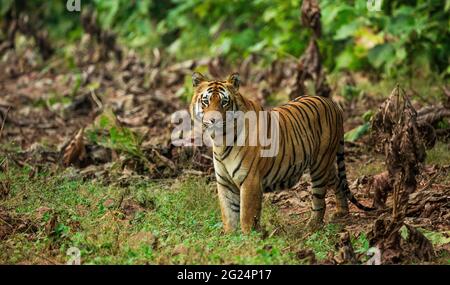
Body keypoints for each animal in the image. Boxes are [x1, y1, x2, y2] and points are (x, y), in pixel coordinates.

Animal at [190, 71, 372, 233]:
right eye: (206, 101)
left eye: (224, 102)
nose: (212, 120)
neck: (221, 140)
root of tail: (332, 103)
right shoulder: (224, 182)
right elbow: (229, 216)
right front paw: (231, 239)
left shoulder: (250, 180)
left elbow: (246, 216)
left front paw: (249, 240)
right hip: (325, 163)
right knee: (338, 182)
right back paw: (342, 213)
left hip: (320, 164)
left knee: (320, 198)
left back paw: (312, 226)